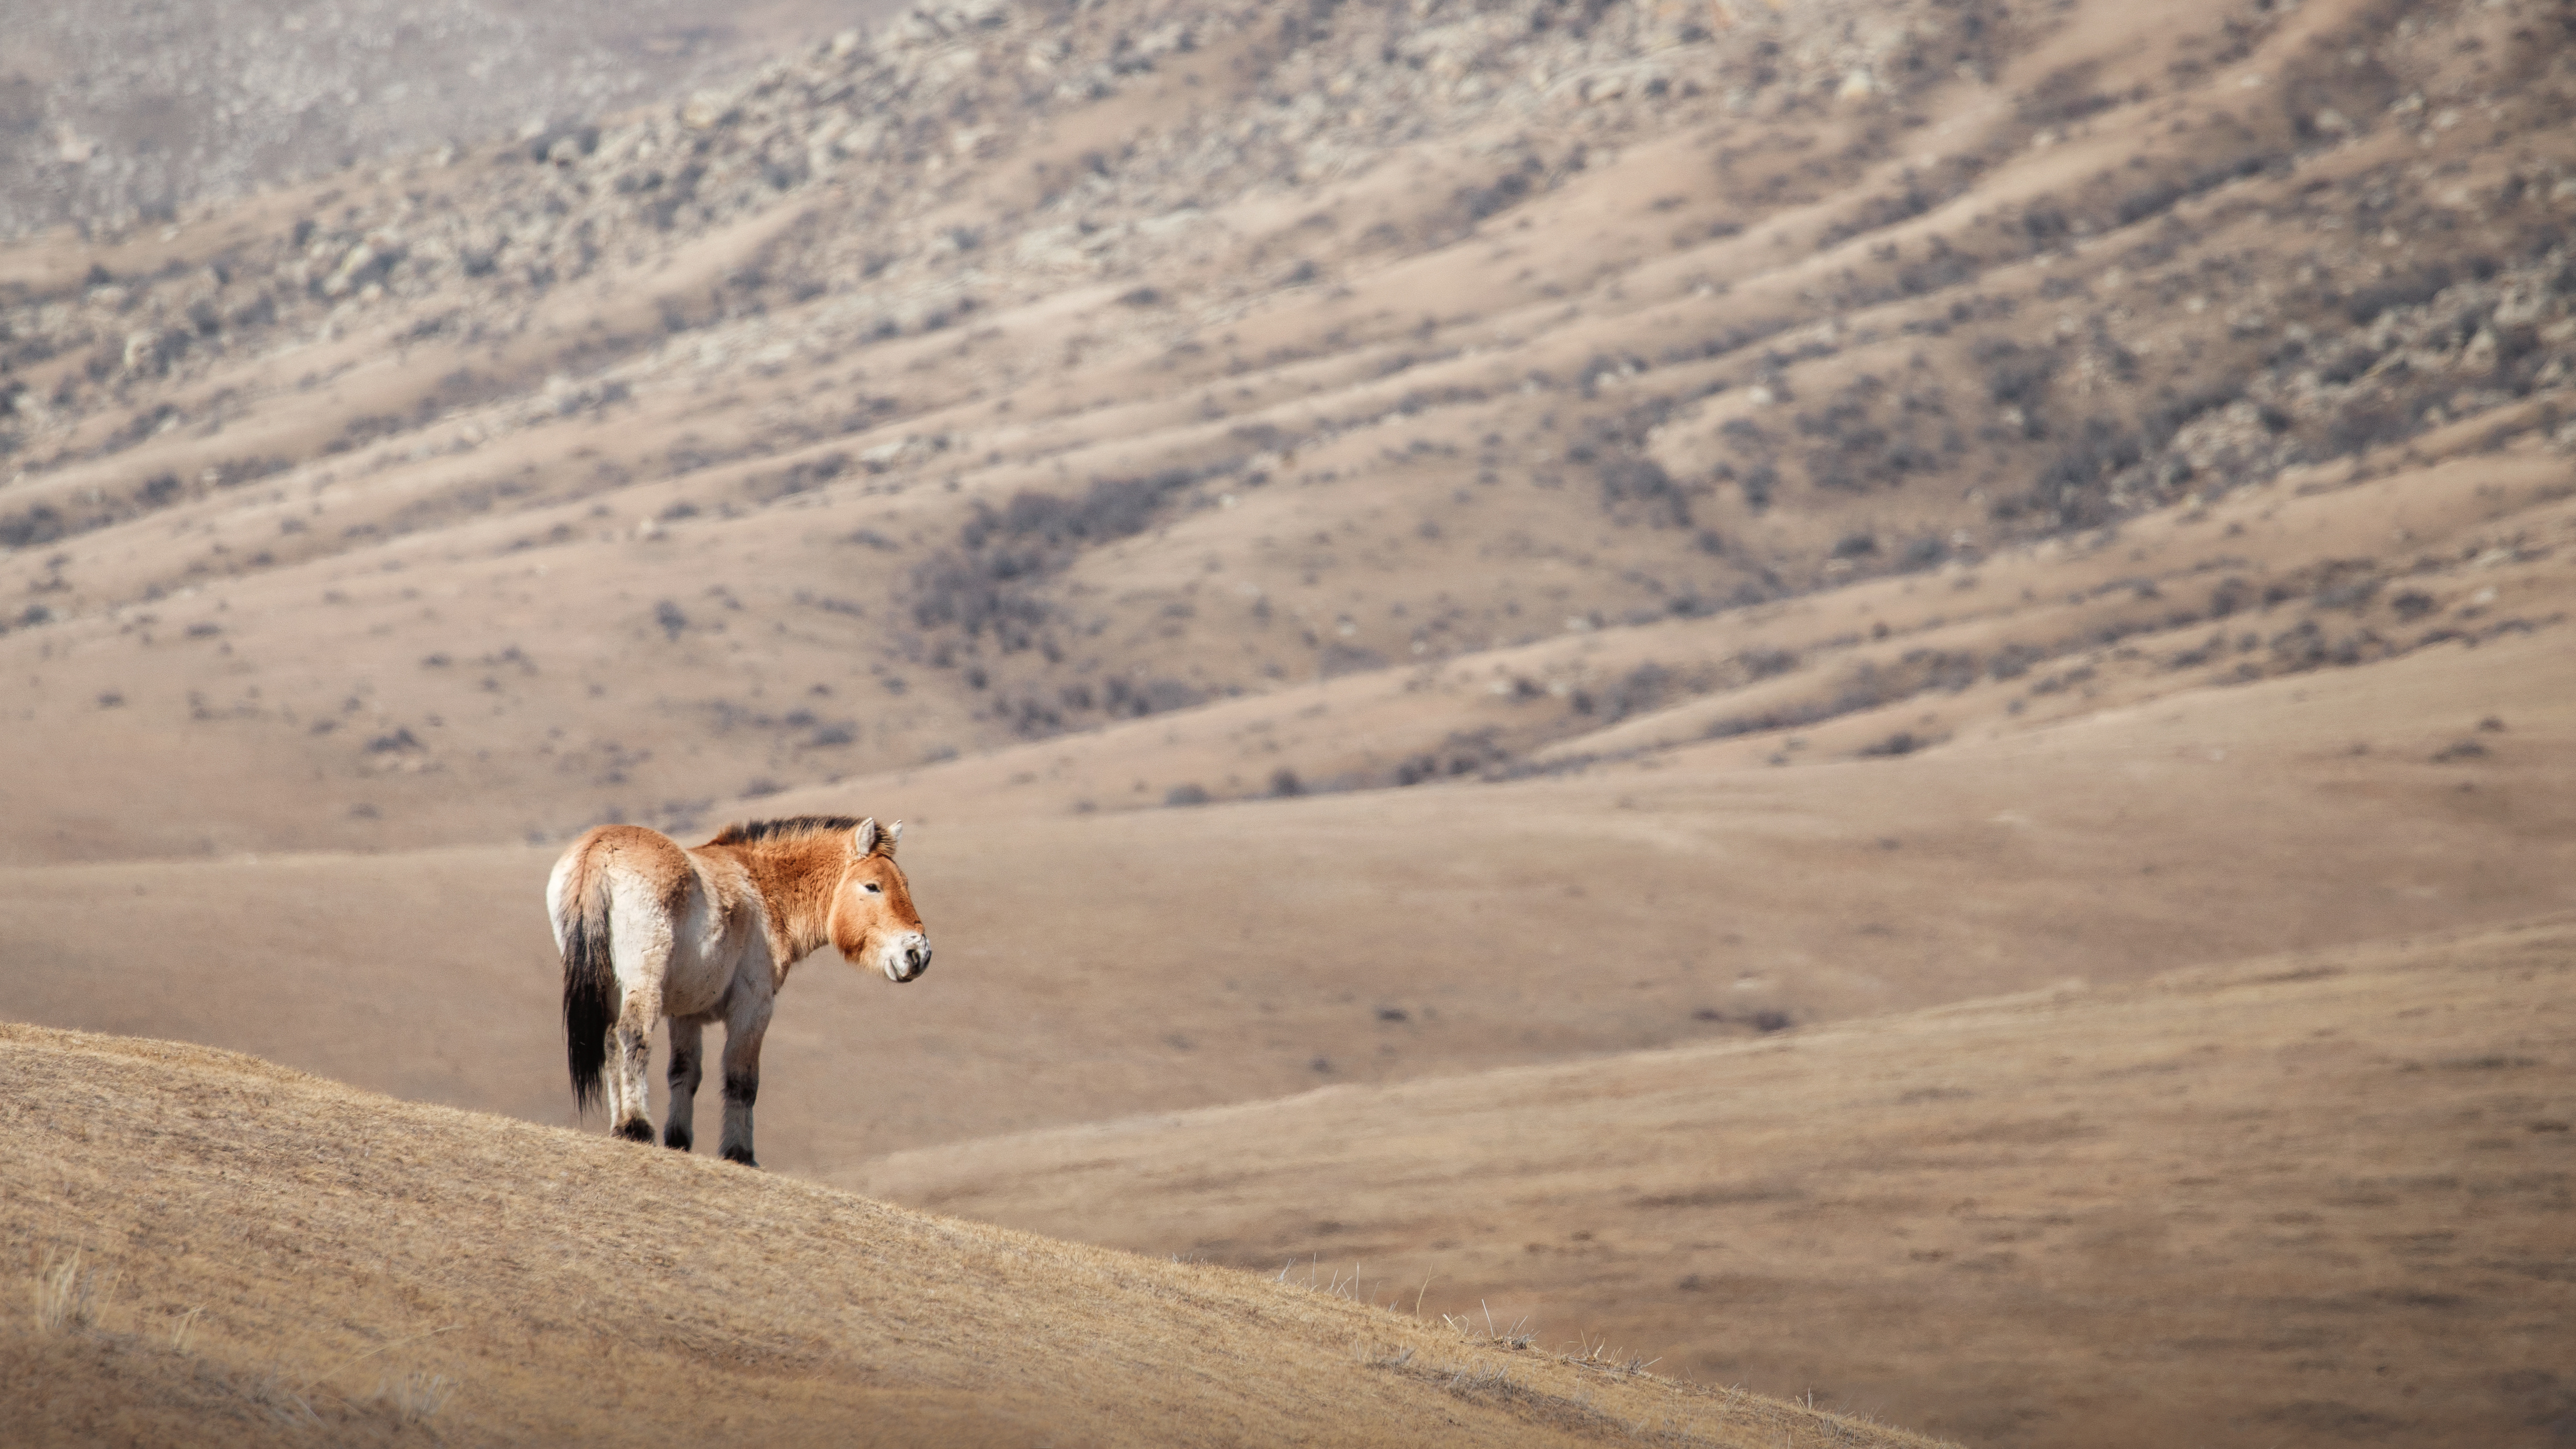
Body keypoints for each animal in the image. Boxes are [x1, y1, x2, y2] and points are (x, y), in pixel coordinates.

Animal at [546, 814, 930, 1167]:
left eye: (905, 883)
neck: (762, 886)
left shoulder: (686, 1015)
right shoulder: (753, 1007)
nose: (918, 954)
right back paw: (637, 1126)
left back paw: (622, 1127)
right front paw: (739, 1153)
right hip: (643, 981)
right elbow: (741, 1080)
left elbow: (684, 1073)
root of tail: (599, 851)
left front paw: (679, 1140)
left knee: (611, 1043)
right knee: (632, 1035)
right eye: (873, 886)